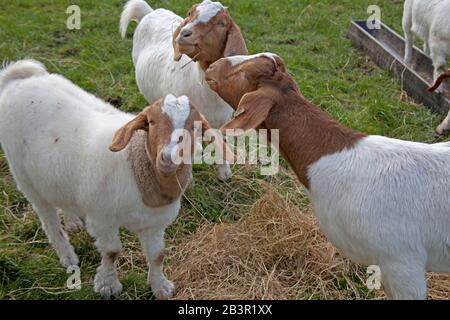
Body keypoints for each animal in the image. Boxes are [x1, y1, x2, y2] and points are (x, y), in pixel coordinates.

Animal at [0, 59, 225, 300]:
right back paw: (67, 256)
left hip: (55, 174)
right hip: (24, 177)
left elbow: (157, 255)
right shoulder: (102, 218)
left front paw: (161, 287)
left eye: (195, 127)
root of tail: (19, 78)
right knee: (48, 219)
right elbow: (111, 252)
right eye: (151, 122)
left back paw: (72, 222)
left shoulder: (154, 223)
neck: (136, 169)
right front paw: (107, 286)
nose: (167, 158)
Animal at [119, 0, 246, 180]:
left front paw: (224, 174)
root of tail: (151, 12)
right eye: (189, 13)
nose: (185, 33)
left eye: (221, 23)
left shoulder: (222, 120)